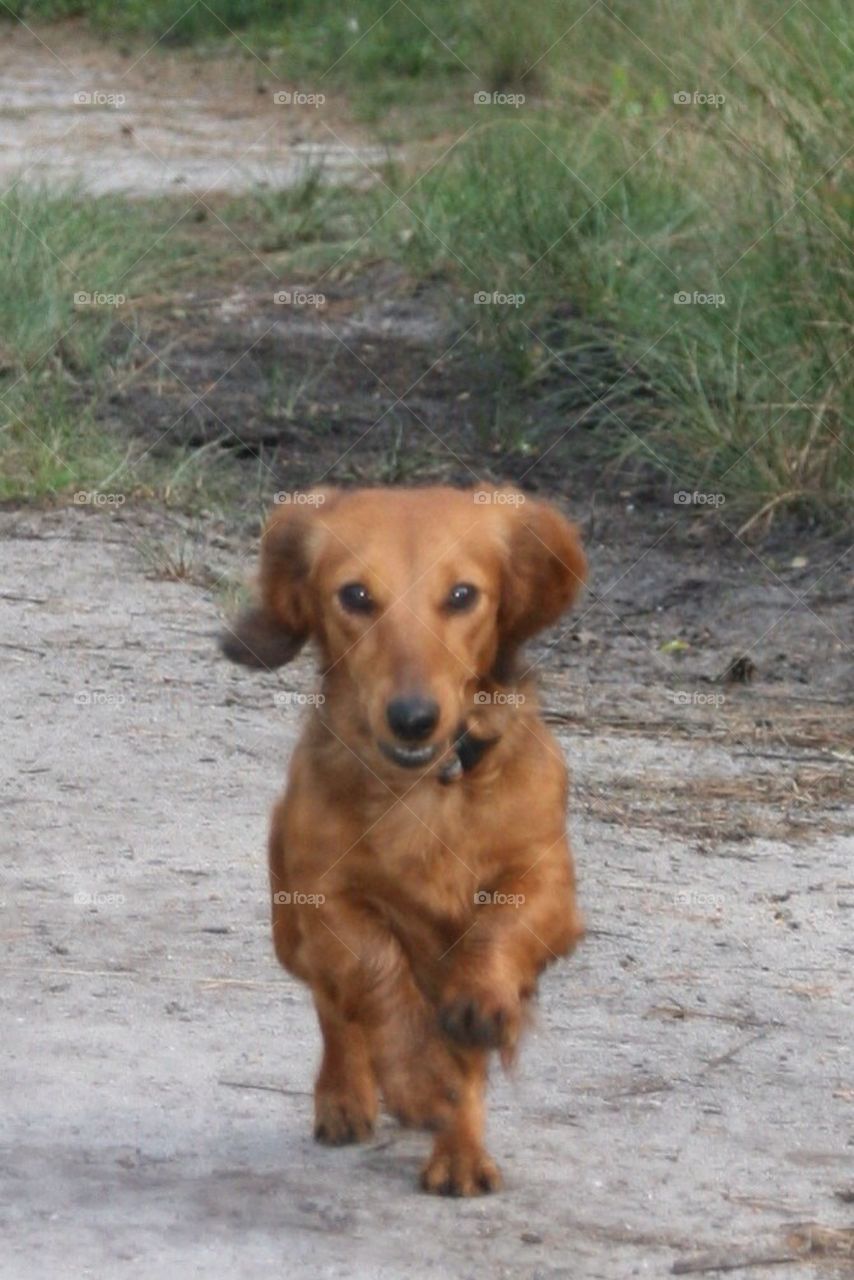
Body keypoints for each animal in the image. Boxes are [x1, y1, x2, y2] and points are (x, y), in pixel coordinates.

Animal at [222, 483, 588, 1192]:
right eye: (356, 595)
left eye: (463, 595)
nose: (414, 719)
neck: (425, 788)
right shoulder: (324, 897)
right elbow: (372, 969)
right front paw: (415, 1077)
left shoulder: (549, 882)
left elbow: (500, 932)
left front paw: (477, 1008)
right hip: (290, 934)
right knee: (335, 1008)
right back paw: (348, 1098)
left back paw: (458, 1151)